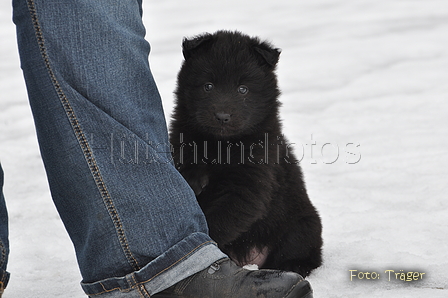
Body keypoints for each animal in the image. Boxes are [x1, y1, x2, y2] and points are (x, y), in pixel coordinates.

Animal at [169, 30, 322, 278]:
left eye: (243, 89)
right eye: (208, 86)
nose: (222, 116)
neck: (220, 145)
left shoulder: (248, 183)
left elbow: (218, 220)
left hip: (302, 224)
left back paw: (293, 266)